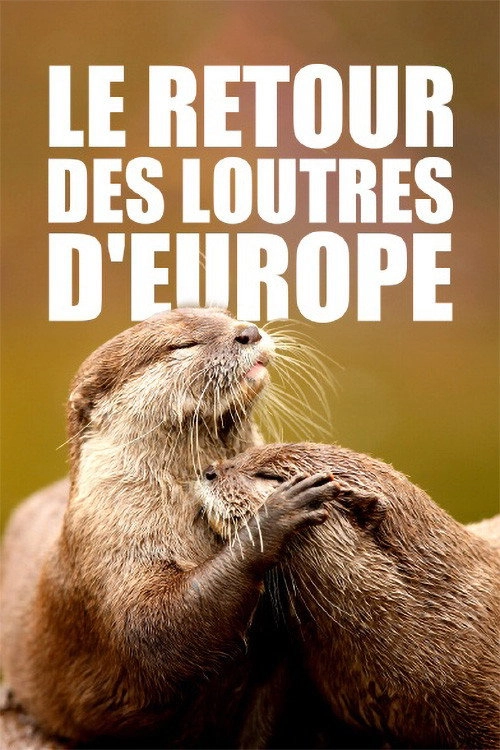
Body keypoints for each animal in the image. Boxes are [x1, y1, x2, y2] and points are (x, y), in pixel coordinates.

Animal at [1, 309, 338, 748]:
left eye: (226, 315)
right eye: (182, 345)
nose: (248, 332)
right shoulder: (112, 554)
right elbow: (156, 633)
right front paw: (274, 514)